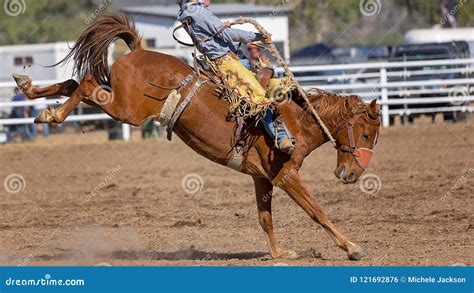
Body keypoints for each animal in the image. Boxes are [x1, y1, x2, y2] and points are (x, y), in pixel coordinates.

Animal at [11, 14, 382, 260]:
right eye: (365, 133)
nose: (352, 174)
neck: (297, 121)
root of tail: (139, 50)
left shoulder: (263, 178)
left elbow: (265, 218)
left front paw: (280, 253)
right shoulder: (286, 175)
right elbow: (317, 211)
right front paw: (352, 248)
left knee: (73, 83)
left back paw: (32, 94)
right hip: (126, 109)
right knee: (86, 83)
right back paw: (51, 113)